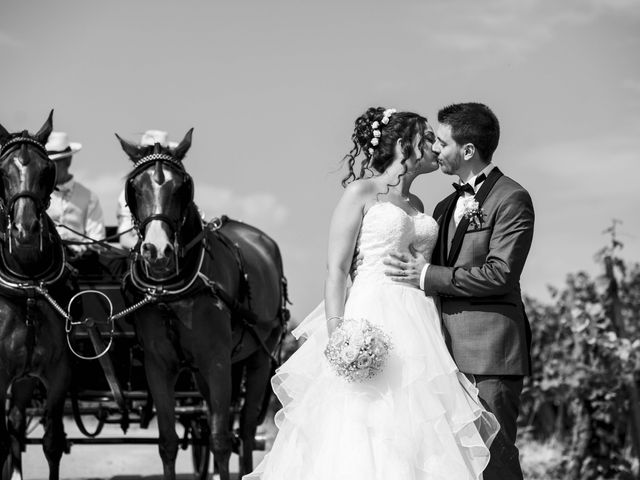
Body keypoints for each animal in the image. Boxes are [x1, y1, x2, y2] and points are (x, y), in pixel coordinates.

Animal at [118, 128, 290, 480]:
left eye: (182, 186)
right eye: (135, 187)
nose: (157, 251)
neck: (172, 293)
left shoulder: (218, 361)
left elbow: (221, 439)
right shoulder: (159, 366)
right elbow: (168, 442)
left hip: (257, 359)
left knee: (246, 431)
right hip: (202, 373)